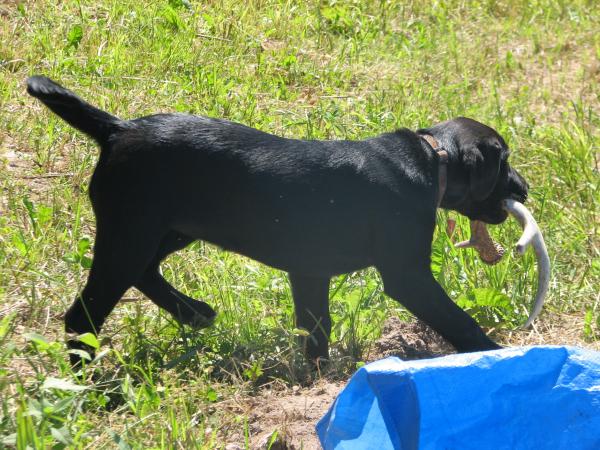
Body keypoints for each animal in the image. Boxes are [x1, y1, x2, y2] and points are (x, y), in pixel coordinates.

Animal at [28, 76, 524, 366]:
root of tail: (118, 128)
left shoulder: (310, 271)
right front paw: (498, 355)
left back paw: (193, 312)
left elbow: (316, 326)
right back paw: (90, 382)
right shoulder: (408, 275)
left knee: (146, 273)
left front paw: (319, 377)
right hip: (131, 232)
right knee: (83, 314)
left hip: (171, 229)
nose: (525, 188)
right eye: (503, 162)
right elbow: (457, 320)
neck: (430, 158)